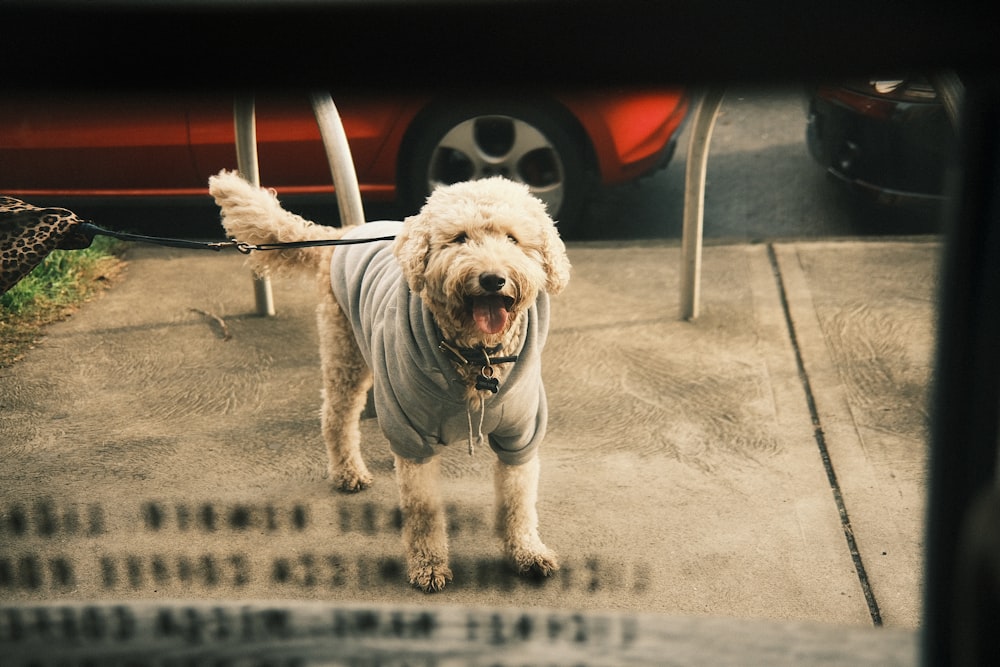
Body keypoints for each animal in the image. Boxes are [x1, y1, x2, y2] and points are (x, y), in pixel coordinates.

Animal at [209, 171, 572, 588]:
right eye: (460, 238)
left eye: (513, 239)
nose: (493, 279)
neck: (474, 355)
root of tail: (345, 233)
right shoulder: (413, 435)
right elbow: (423, 507)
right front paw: (429, 565)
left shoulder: (521, 436)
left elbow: (519, 500)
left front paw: (526, 552)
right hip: (345, 352)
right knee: (337, 416)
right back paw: (348, 471)